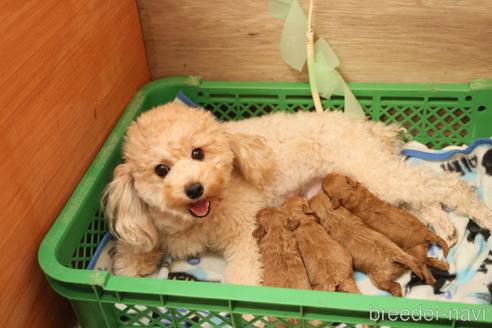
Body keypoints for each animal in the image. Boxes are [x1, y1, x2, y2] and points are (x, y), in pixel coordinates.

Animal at [320, 172, 452, 284]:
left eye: (324, 187)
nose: (324, 177)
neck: (351, 194)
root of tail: (425, 234)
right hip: (418, 250)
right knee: (428, 262)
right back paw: (444, 266)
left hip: (413, 252)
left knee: (425, 265)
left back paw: (431, 278)